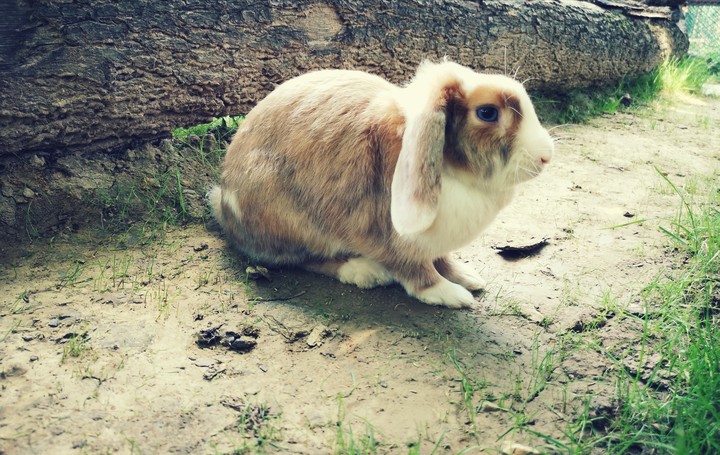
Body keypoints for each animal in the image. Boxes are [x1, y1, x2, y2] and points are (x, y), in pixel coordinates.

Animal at [209, 59, 553, 309]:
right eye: (487, 112)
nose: (546, 157)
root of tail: (223, 202)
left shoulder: (433, 241)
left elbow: (441, 259)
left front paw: (466, 276)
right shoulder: (391, 238)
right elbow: (416, 271)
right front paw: (449, 294)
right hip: (292, 219)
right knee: (302, 259)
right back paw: (364, 271)